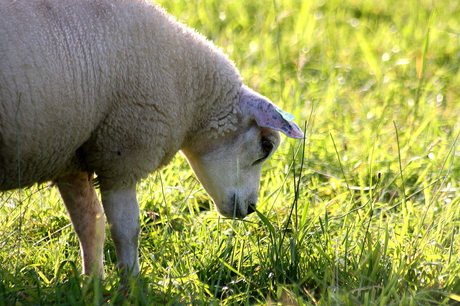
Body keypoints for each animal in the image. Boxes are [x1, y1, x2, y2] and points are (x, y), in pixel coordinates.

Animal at [0, 0, 304, 278]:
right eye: (266, 146)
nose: (252, 208)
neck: (186, 88)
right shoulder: (123, 154)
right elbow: (126, 230)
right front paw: (132, 284)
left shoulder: (72, 157)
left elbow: (90, 225)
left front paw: (92, 284)